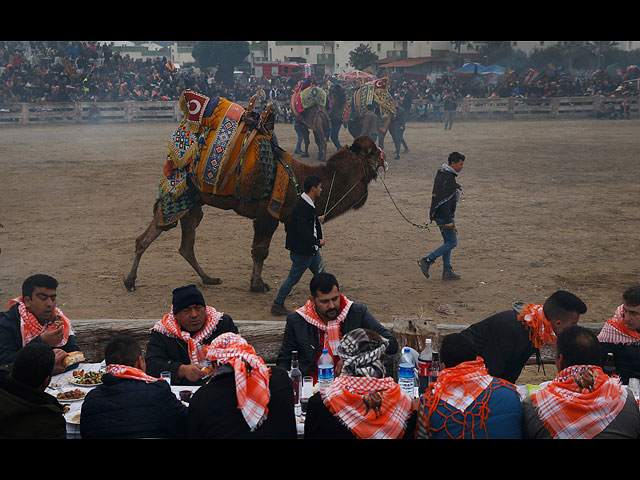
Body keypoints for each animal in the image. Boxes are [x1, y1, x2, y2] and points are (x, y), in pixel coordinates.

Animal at [123, 89, 388, 292]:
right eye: (372, 152)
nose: (383, 157)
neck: (300, 179)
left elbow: (262, 250)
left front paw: (256, 282)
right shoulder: (268, 215)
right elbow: (260, 251)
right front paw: (258, 285)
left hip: (193, 203)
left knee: (183, 244)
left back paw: (208, 279)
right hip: (180, 193)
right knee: (156, 230)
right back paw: (130, 281)